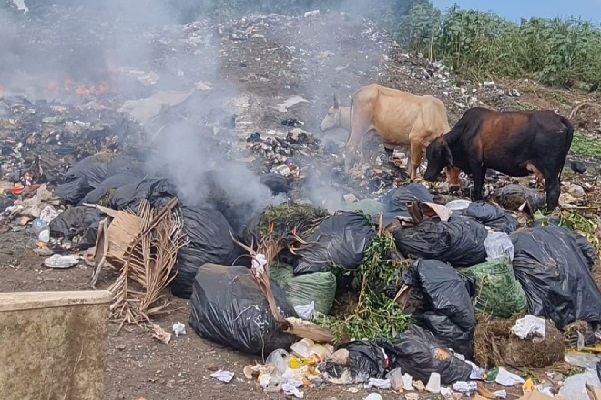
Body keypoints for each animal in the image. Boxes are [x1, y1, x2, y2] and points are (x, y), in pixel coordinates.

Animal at [420, 108, 576, 211]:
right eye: (427, 154)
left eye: (436, 154)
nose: (427, 176)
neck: (466, 130)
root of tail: (559, 118)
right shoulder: (483, 166)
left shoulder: (476, 163)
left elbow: (477, 187)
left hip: (550, 170)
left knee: (553, 191)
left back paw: (547, 212)